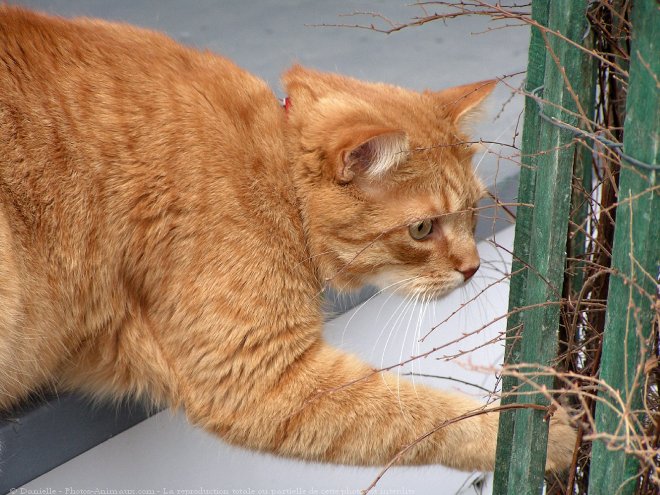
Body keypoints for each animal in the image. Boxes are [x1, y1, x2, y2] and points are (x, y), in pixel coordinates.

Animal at [0, 6, 576, 472]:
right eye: (422, 229)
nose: (473, 267)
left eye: (473, 211)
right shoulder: (255, 374)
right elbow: (420, 414)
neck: (272, 168)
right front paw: (538, 435)